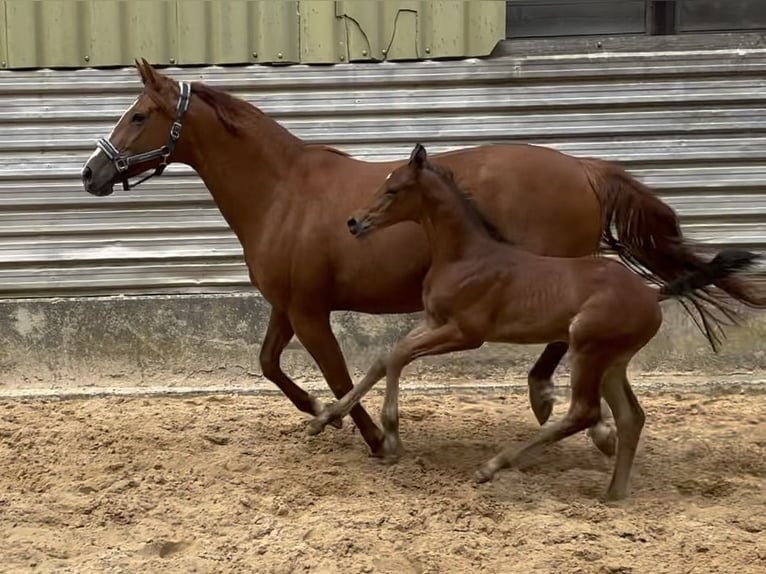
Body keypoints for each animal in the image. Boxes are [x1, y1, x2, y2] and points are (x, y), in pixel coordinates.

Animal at [81, 60, 764, 456]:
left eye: (138, 116)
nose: (91, 174)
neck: (282, 190)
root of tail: (584, 168)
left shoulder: (310, 313)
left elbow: (338, 373)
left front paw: (374, 437)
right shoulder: (287, 307)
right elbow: (271, 365)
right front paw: (322, 417)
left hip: (556, 274)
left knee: (563, 342)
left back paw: (559, 406)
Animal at [308, 145, 764, 504]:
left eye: (393, 189)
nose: (354, 222)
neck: (468, 256)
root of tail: (652, 294)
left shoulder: (466, 333)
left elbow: (398, 355)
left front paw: (391, 435)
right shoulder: (435, 322)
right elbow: (385, 358)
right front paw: (324, 417)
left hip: (587, 346)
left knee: (583, 411)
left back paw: (495, 465)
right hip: (613, 361)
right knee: (631, 416)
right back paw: (613, 495)